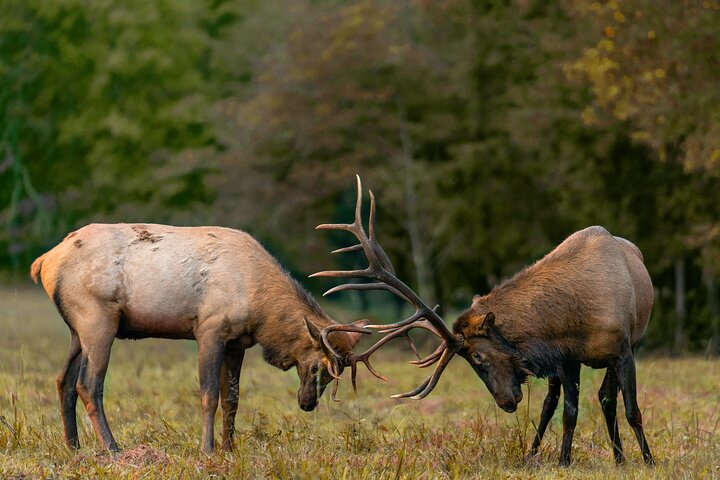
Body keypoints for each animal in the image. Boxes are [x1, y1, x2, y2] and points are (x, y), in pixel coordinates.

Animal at [30, 223, 366, 454]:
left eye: (336, 372)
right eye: (317, 367)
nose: (307, 403)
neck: (260, 309)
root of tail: (43, 262)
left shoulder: (237, 342)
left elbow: (232, 397)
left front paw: (230, 448)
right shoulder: (209, 330)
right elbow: (209, 395)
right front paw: (207, 448)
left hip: (77, 330)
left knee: (63, 380)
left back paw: (74, 447)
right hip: (97, 319)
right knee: (88, 384)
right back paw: (113, 449)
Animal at [312, 176, 654, 467]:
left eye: (477, 355)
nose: (506, 402)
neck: (577, 316)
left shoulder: (623, 351)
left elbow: (631, 409)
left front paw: (648, 461)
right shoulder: (568, 358)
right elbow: (570, 412)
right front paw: (563, 461)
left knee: (606, 398)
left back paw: (621, 458)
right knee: (553, 402)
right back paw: (540, 455)